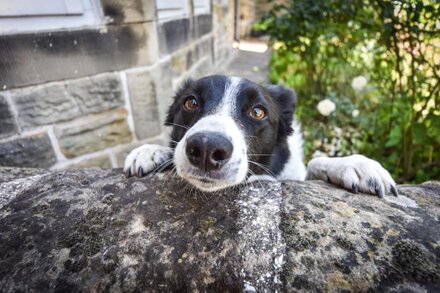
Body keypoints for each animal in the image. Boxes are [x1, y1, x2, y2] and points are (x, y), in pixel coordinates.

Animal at [124, 74, 398, 196]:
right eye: (190, 102)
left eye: (258, 111)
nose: (206, 148)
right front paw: (150, 151)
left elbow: (314, 162)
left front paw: (355, 164)